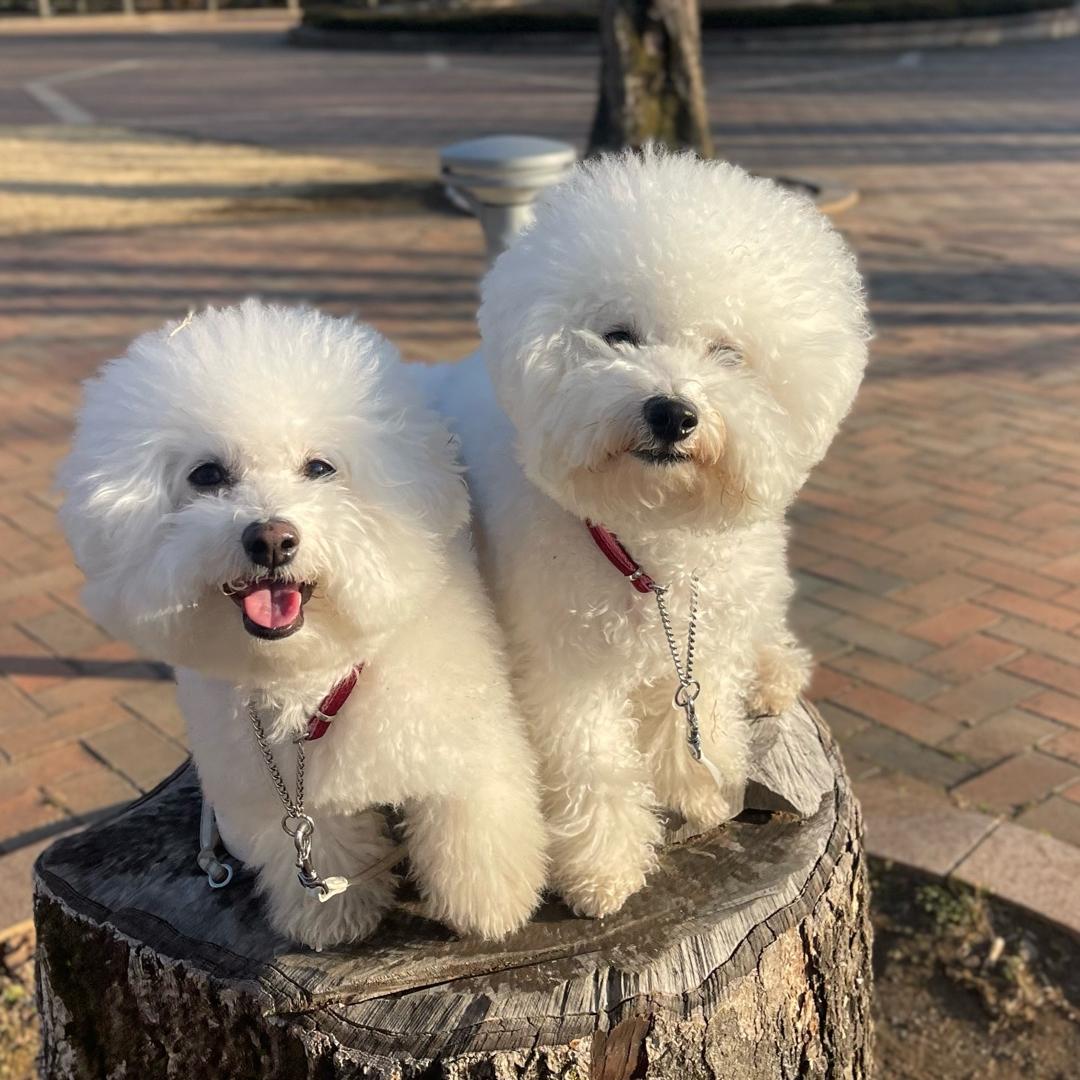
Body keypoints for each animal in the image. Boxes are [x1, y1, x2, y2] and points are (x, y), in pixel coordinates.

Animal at [58, 300, 547, 949]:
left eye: (320, 467)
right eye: (207, 475)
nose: (270, 538)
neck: (310, 673)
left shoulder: (462, 741)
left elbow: (474, 826)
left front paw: (491, 908)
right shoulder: (290, 799)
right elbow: (325, 845)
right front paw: (334, 919)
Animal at [441, 149, 869, 918]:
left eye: (728, 352)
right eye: (618, 336)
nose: (672, 412)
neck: (653, 530)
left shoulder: (708, 626)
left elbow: (700, 705)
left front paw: (703, 790)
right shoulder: (564, 660)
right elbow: (593, 761)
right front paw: (603, 868)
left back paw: (774, 670)